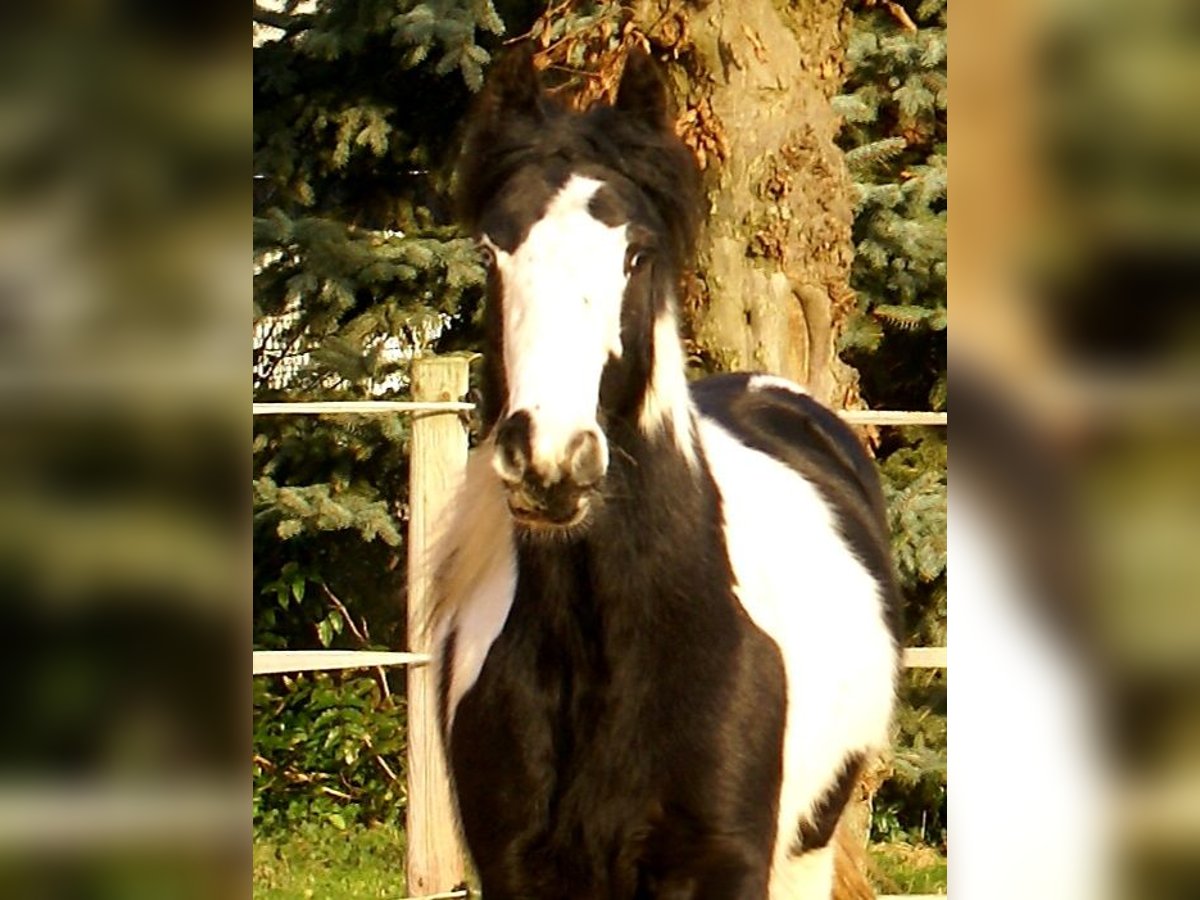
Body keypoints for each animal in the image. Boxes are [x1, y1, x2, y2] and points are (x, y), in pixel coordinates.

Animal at [432, 51, 902, 900]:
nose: (550, 459)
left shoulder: (721, 865)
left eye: (635, 252)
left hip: (808, 848)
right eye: (492, 250)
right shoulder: (517, 870)